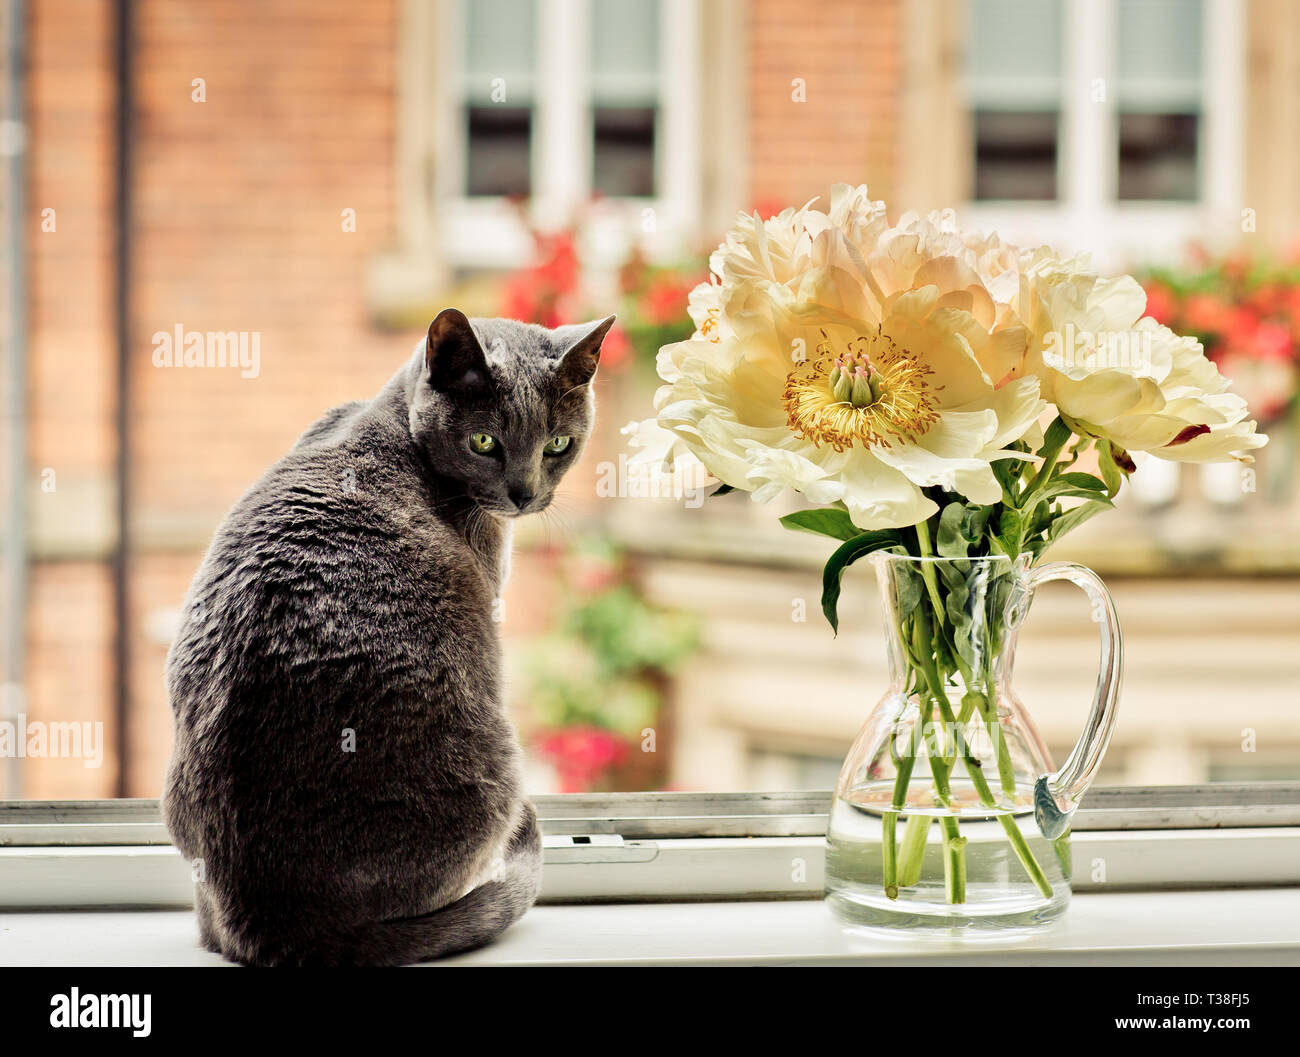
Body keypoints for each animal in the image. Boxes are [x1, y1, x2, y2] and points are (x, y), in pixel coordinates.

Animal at [158, 306, 613, 967]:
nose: (524, 495)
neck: (390, 417)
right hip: (495, 772)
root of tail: (268, 920)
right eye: (484, 441)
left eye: (558, 444)